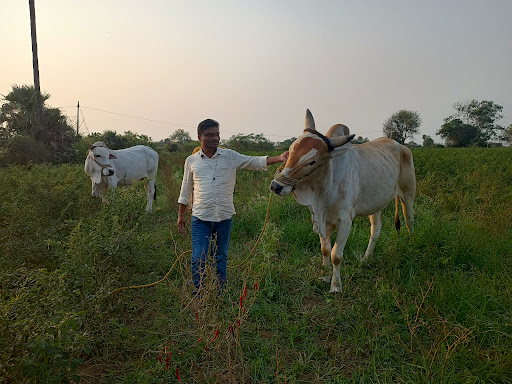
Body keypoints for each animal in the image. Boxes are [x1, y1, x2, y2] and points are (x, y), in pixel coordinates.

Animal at [270, 109, 414, 292]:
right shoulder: (321, 219)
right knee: (376, 229)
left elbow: (336, 255)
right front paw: (325, 275)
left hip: (408, 195)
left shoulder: (345, 221)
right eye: (290, 150)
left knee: (409, 220)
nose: (276, 186)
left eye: (312, 161)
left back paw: (411, 245)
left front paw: (336, 286)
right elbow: (325, 250)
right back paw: (366, 258)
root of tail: (400, 145)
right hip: (375, 203)